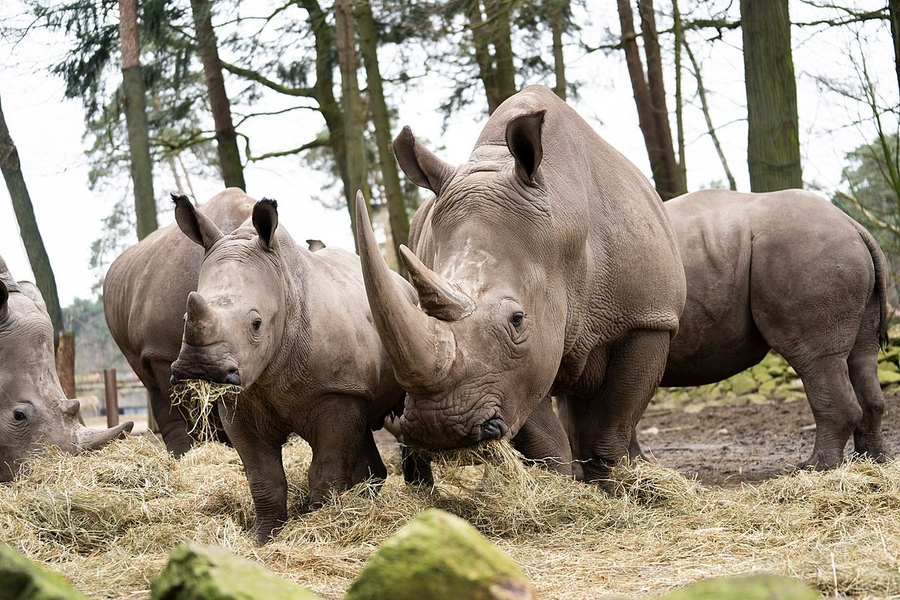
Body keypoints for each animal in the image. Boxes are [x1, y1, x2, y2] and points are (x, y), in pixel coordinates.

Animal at [169, 197, 414, 544]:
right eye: (184, 319)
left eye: (256, 323)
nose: (201, 367)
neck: (284, 286)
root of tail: (402, 283)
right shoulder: (239, 400)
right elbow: (263, 477)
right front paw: (262, 537)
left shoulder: (335, 391)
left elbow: (326, 470)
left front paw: (321, 526)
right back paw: (366, 501)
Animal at [356, 83, 684, 482]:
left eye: (517, 320)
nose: (440, 427)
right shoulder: (516, 369)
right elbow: (543, 439)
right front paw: (559, 486)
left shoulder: (648, 319)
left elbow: (609, 429)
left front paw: (610, 486)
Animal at [640, 190, 892, 466]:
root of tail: (853, 225)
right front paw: (634, 464)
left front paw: (627, 467)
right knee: (862, 356)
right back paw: (871, 461)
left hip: (806, 255)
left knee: (816, 360)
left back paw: (815, 467)